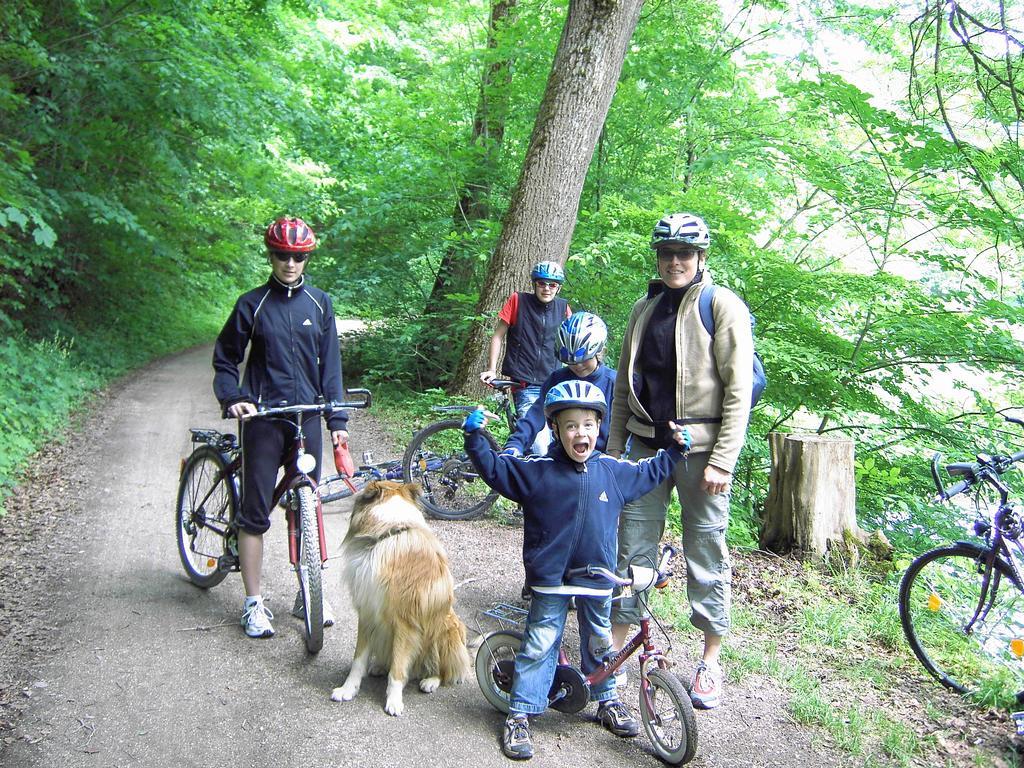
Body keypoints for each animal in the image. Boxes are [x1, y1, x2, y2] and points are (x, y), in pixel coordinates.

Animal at [329, 481, 473, 716]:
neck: (389, 533)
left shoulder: (405, 622)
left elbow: (397, 669)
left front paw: (394, 701)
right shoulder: (367, 613)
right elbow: (358, 660)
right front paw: (347, 690)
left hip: (444, 629)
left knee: (443, 670)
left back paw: (430, 680)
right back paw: (379, 666)